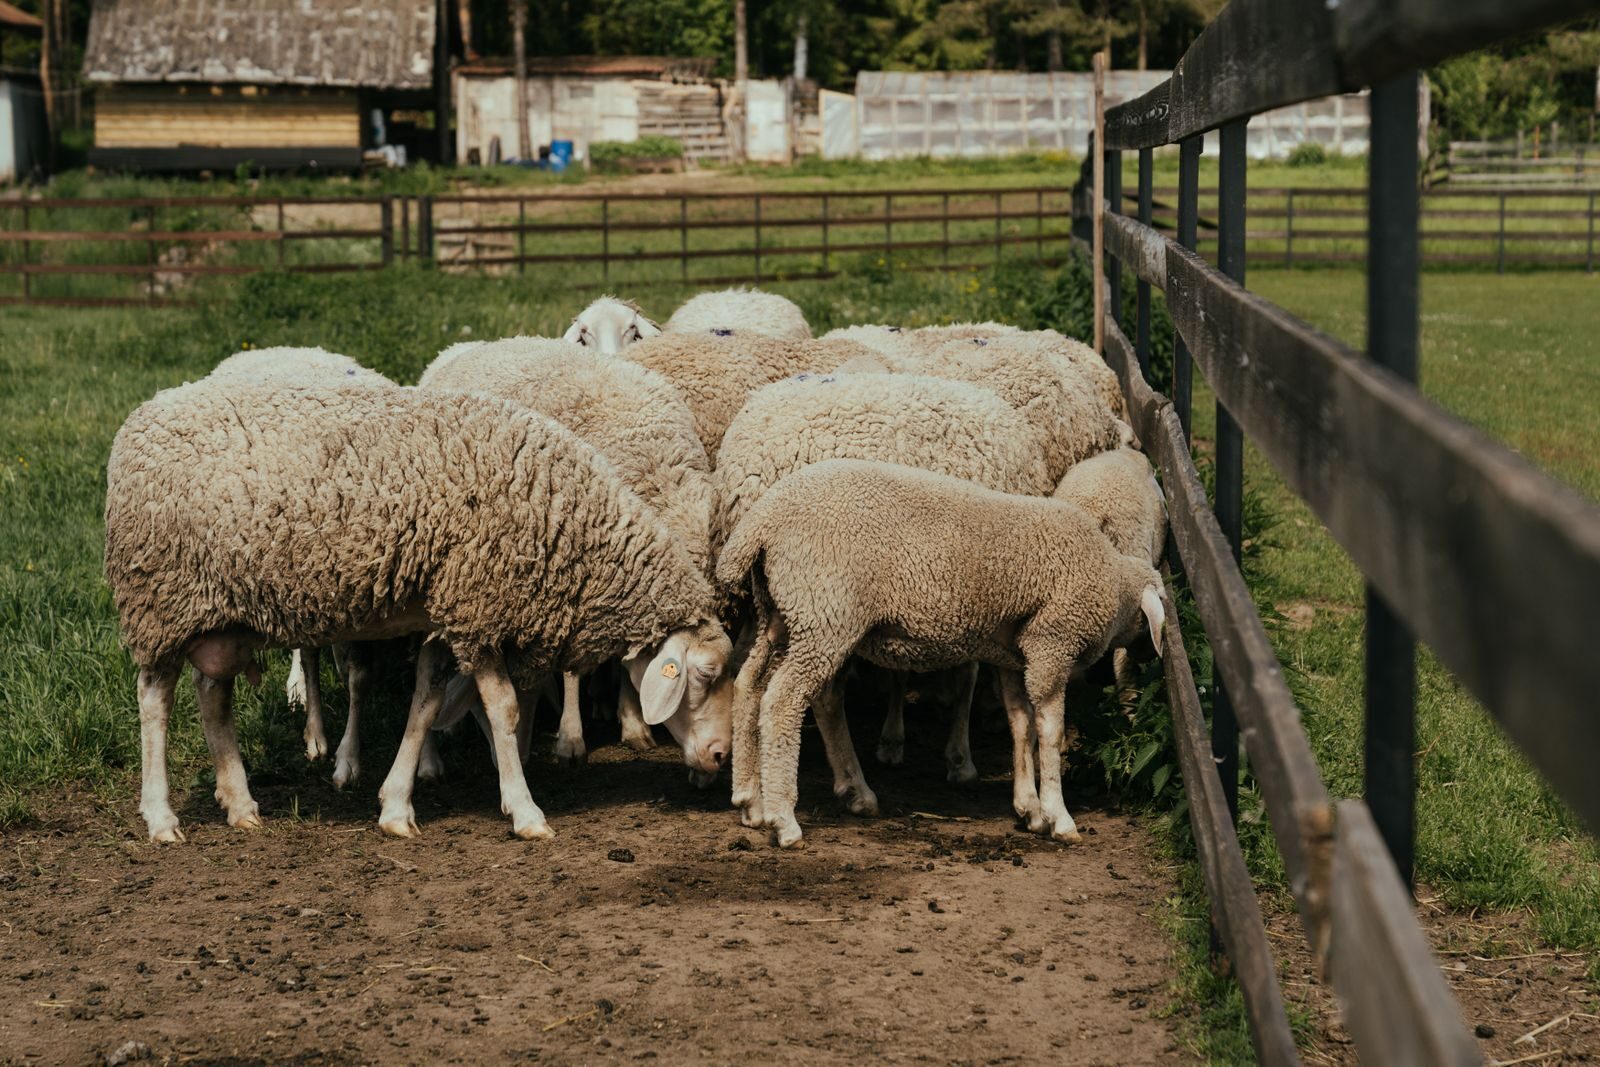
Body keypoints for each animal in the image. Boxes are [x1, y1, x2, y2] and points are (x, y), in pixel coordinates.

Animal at [105, 381, 729, 843]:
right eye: (704, 673)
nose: (722, 756)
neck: (568, 521)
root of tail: (142, 415)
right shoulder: (477, 607)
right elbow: (502, 709)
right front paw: (525, 811)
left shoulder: (444, 614)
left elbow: (424, 706)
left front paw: (396, 806)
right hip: (160, 598)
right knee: (154, 702)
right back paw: (161, 817)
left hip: (216, 611)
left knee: (213, 698)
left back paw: (240, 804)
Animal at [418, 337, 727, 773]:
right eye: (704, 675)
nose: (718, 757)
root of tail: (466, 346)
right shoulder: (575, 569)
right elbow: (574, 668)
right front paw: (571, 737)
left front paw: (633, 722)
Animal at [715, 459, 1165, 848]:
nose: (1150, 659)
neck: (1112, 580)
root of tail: (762, 521)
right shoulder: (1052, 645)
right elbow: (1050, 732)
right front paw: (1060, 817)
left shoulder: (1015, 657)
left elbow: (1022, 727)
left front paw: (1030, 809)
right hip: (823, 612)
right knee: (782, 702)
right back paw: (783, 820)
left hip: (785, 614)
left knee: (751, 686)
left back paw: (752, 802)